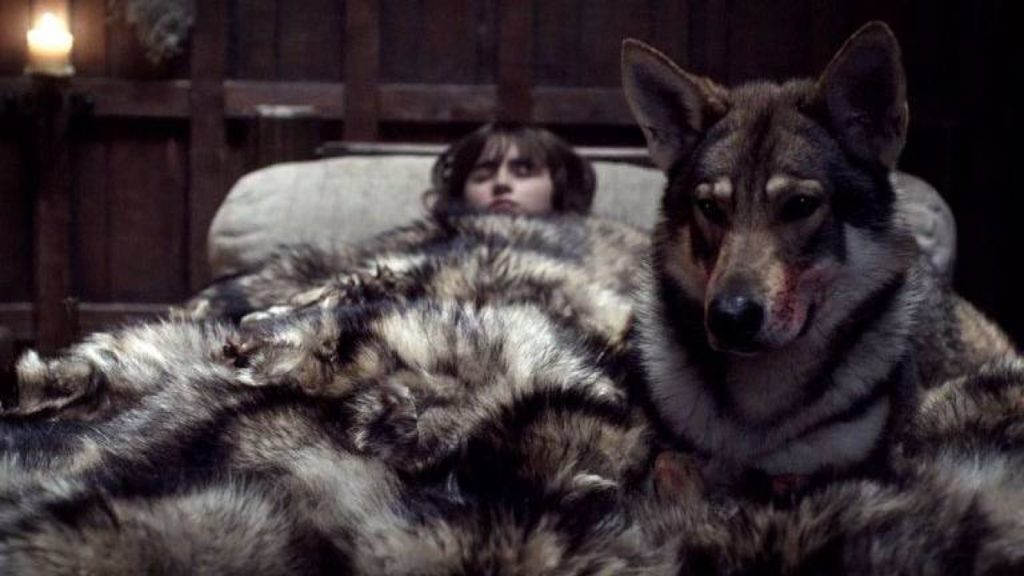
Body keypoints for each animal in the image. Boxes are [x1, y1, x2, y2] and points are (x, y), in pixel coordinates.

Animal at [621, 22, 1014, 496]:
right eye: (711, 209)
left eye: (801, 205)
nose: (729, 317)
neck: (758, 410)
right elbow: (669, 466)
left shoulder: (851, 467)